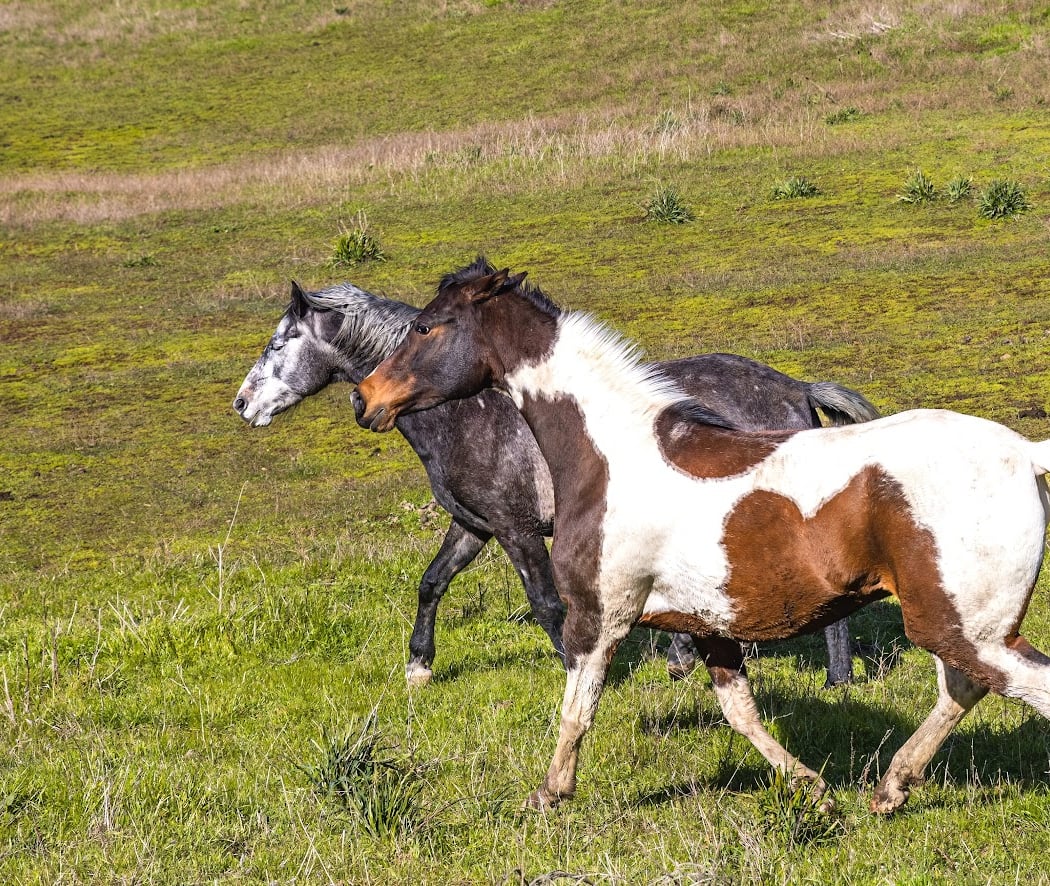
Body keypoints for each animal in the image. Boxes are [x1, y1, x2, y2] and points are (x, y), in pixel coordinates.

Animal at [234, 275, 879, 686]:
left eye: (280, 342)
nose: (242, 404)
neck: (469, 412)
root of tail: (795, 389)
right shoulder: (474, 526)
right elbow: (431, 582)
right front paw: (419, 666)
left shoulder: (517, 530)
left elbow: (546, 604)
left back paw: (838, 680)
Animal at [354, 259, 1050, 814]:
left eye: (425, 327)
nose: (366, 399)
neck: (611, 455)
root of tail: (1024, 452)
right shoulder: (708, 624)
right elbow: (740, 712)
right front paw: (812, 786)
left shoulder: (599, 616)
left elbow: (577, 707)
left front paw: (549, 795)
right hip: (960, 628)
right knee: (961, 689)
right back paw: (888, 789)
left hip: (959, 628)